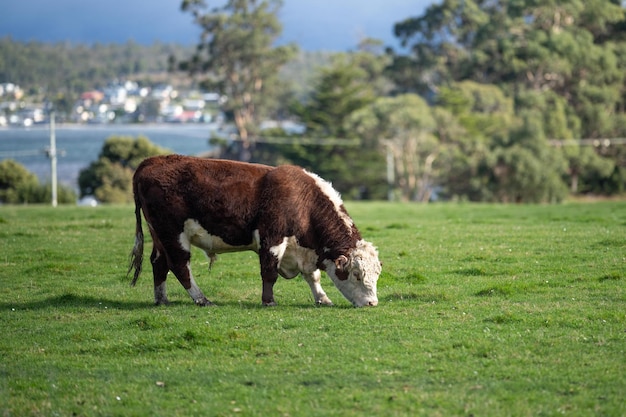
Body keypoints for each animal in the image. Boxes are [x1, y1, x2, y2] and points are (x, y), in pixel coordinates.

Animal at [127, 154, 380, 308]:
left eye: (376, 275)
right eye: (356, 274)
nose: (372, 303)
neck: (302, 201)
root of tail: (151, 161)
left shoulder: (303, 249)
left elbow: (313, 276)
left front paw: (322, 298)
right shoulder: (272, 238)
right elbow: (269, 272)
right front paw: (269, 301)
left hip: (159, 235)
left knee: (159, 262)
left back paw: (162, 299)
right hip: (173, 234)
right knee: (180, 265)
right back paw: (201, 299)